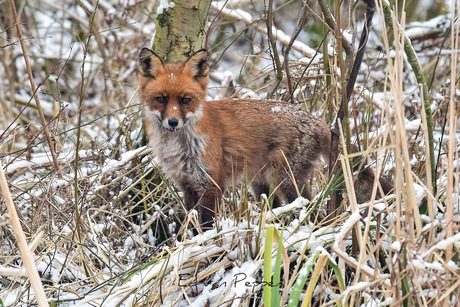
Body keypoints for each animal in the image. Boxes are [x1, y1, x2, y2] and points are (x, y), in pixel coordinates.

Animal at [138, 47, 386, 226]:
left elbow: (207, 225)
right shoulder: (186, 185)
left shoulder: (212, 184)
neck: (179, 147)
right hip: (261, 184)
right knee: (277, 206)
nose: (173, 122)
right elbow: (191, 223)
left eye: (185, 100)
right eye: (161, 99)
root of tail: (318, 121)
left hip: (286, 180)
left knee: (309, 206)